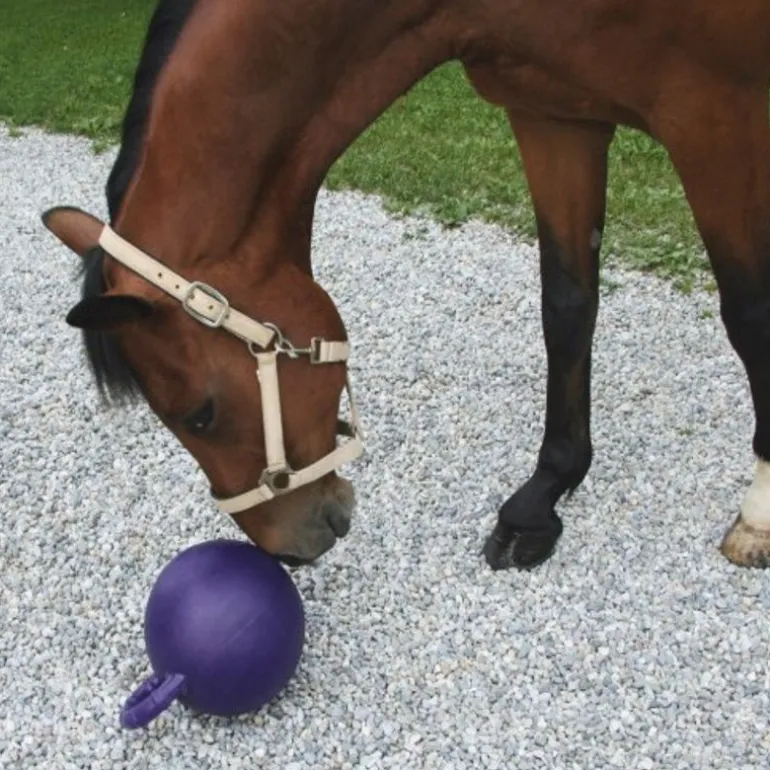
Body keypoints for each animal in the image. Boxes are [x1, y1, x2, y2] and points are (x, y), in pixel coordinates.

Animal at [42, 0, 770, 570]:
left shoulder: (715, 115)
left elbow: (749, 315)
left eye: (201, 414)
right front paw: (543, 497)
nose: (287, 550)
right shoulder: (553, 112)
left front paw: (758, 512)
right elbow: (566, 304)